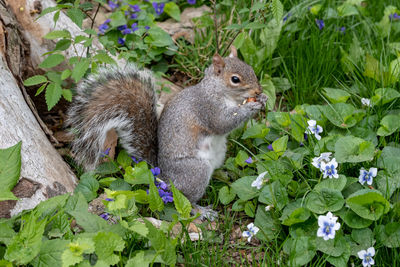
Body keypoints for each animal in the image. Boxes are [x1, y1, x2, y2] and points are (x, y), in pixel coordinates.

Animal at [66, 47, 266, 220]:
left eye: (251, 69)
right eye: (235, 79)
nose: (259, 90)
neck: (219, 92)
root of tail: (162, 177)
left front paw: (263, 99)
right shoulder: (207, 108)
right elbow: (223, 123)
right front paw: (250, 107)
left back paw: (223, 174)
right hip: (195, 172)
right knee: (186, 199)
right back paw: (202, 211)